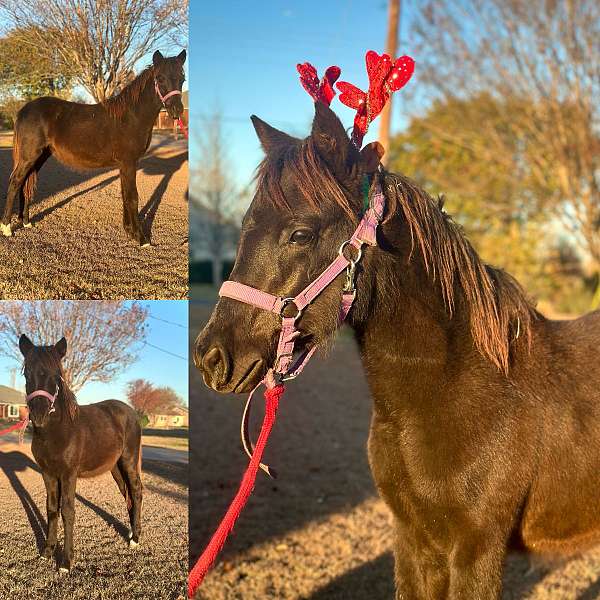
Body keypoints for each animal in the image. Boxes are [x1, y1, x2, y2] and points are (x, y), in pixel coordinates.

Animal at [2, 49, 186, 244]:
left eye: (182, 79)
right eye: (160, 78)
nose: (176, 111)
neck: (130, 116)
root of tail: (24, 110)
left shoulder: (124, 165)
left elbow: (125, 196)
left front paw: (129, 231)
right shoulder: (129, 163)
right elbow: (132, 197)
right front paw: (141, 238)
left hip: (39, 157)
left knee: (25, 183)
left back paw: (26, 222)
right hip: (29, 156)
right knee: (15, 182)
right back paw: (7, 228)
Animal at [19, 332, 143, 572]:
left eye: (56, 375)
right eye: (26, 372)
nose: (38, 415)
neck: (58, 431)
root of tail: (130, 412)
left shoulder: (68, 474)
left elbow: (67, 511)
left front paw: (66, 562)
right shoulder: (48, 473)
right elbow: (51, 509)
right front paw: (47, 552)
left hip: (129, 462)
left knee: (137, 492)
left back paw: (135, 539)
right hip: (115, 468)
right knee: (127, 494)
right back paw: (131, 532)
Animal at [196, 101, 600, 596]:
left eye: (300, 234)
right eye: (245, 226)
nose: (211, 357)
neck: (457, 393)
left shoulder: (478, 550)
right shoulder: (414, 541)